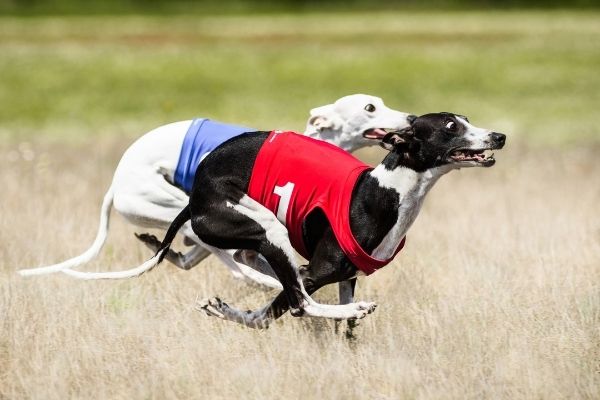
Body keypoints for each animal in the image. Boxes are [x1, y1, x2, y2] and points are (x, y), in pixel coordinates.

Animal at [18, 94, 412, 288]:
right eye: (370, 107)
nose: (410, 118)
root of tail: (115, 185)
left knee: (194, 253)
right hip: (177, 204)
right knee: (223, 256)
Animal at [105, 111, 504, 326]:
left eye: (466, 120)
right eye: (451, 127)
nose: (499, 136)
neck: (382, 191)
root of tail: (198, 196)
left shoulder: (347, 278)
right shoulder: (315, 271)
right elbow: (289, 305)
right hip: (268, 229)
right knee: (299, 303)